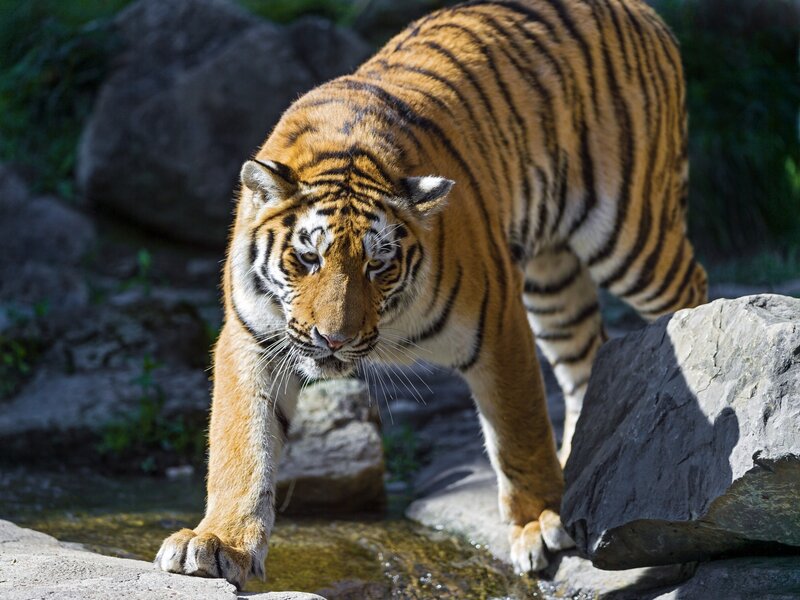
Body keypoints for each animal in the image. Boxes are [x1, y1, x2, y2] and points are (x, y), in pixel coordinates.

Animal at [155, 0, 707, 588]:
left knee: (685, 294)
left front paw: (538, 523)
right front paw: (219, 542)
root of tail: (640, 10)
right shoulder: (252, 338)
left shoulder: (498, 323)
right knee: (588, 360)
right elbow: (242, 446)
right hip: (553, 278)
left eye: (378, 265)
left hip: (632, 233)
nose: (334, 340)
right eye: (307, 259)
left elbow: (519, 432)